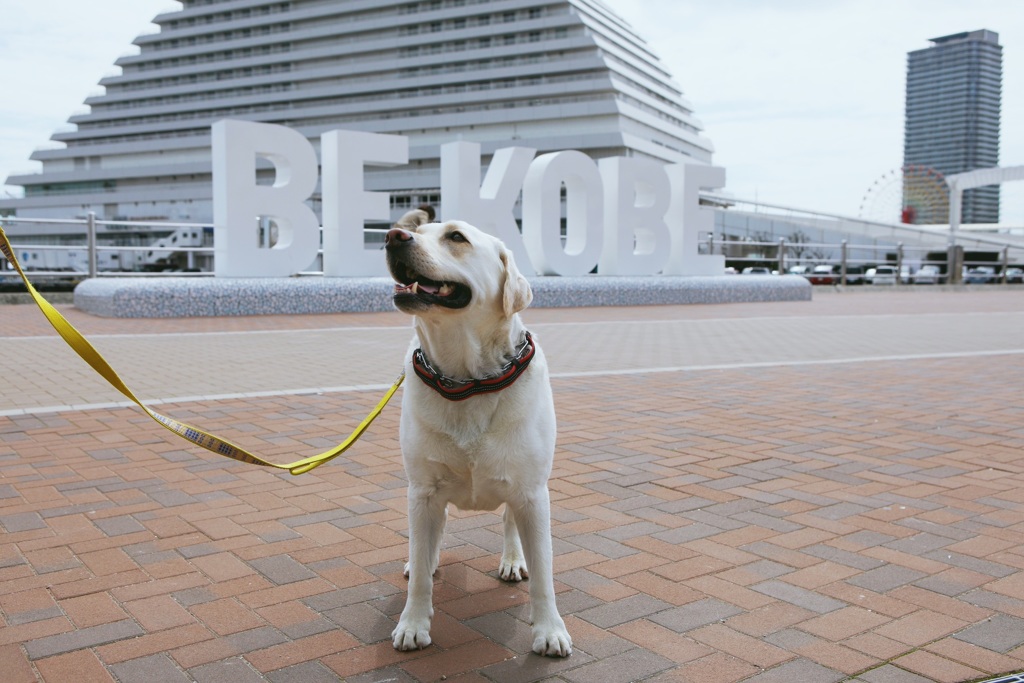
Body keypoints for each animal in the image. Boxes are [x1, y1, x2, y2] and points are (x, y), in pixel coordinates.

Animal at [385, 206, 573, 655]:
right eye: (417, 230)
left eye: (456, 237)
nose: (393, 235)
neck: (466, 380)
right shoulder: (422, 490)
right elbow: (421, 573)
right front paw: (413, 623)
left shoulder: (532, 492)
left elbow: (545, 572)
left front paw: (549, 630)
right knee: (429, 540)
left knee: (509, 522)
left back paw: (513, 560)